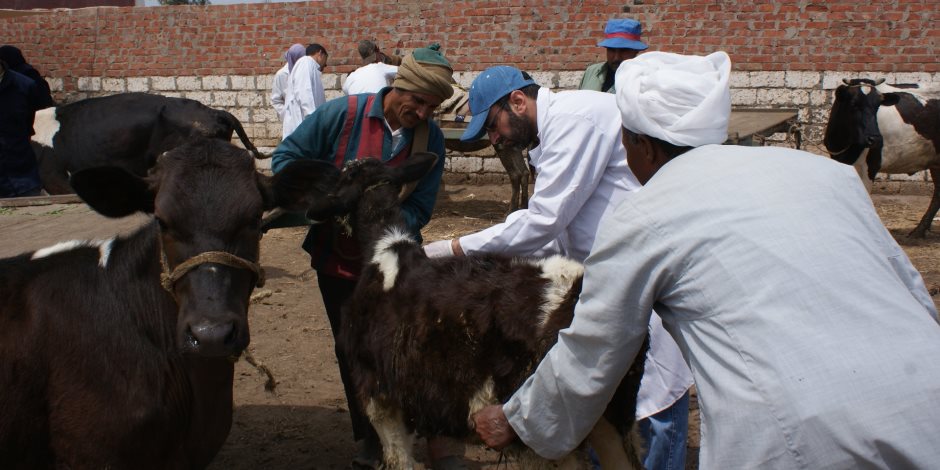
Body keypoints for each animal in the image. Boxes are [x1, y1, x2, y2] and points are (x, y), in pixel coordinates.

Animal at [282, 152, 648, 468]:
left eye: (340, 179)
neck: (385, 251)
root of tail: (575, 289)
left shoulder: (379, 395)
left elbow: (401, 460)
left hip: (538, 427)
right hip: (610, 413)